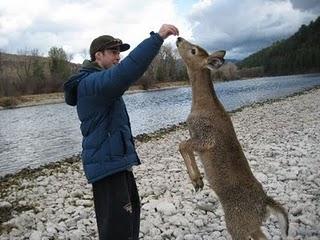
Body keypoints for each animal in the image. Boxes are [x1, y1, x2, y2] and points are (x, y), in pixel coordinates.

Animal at [176, 36, 288, 240]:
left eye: (194, 50)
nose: (178, 38)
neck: (201, 105)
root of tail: (264, 204)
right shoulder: (197, 136)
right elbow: (184, 146)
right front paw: (198, 181)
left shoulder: (205, 136)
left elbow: (182, 145)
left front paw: (197, 181)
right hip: (251, 225)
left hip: (236, 223)